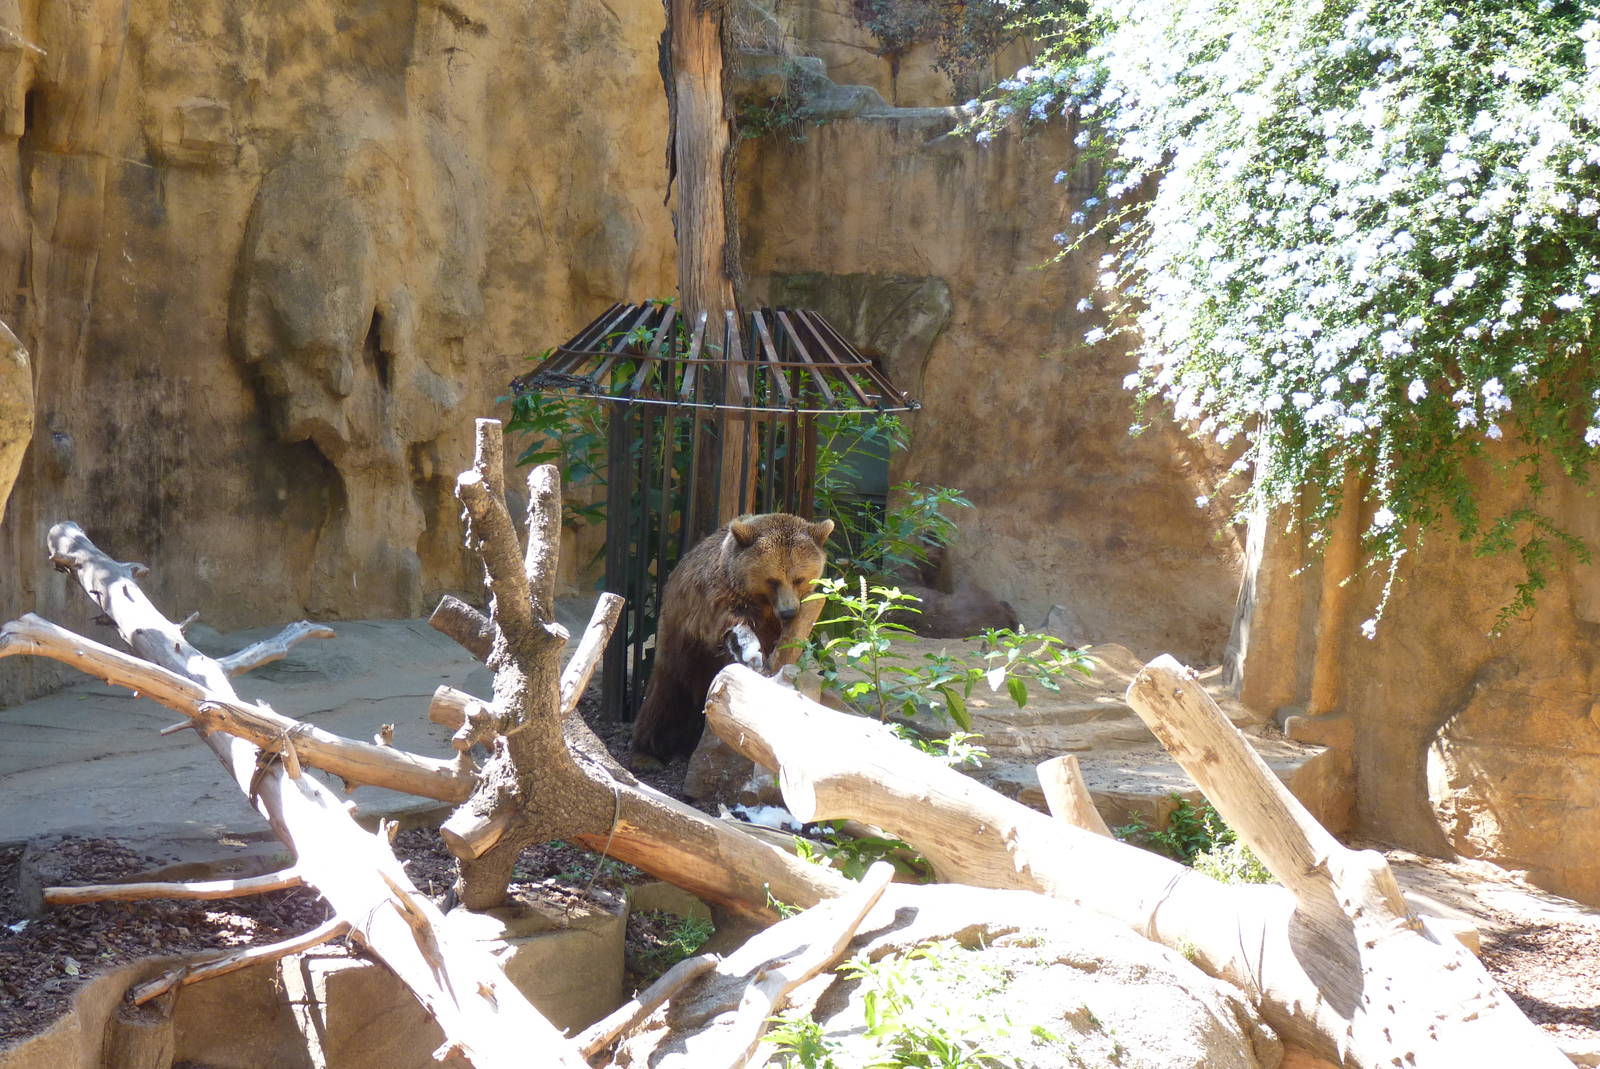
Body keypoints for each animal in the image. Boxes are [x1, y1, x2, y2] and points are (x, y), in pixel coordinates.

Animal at [630, 512, 833, 763]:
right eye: (772, 580)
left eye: (798, 578)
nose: (788, 612)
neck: (763, 603)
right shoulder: (716, 598)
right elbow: (729, 625)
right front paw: (750, 651)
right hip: (678, 644)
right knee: (665, 698)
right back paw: (649, 748)